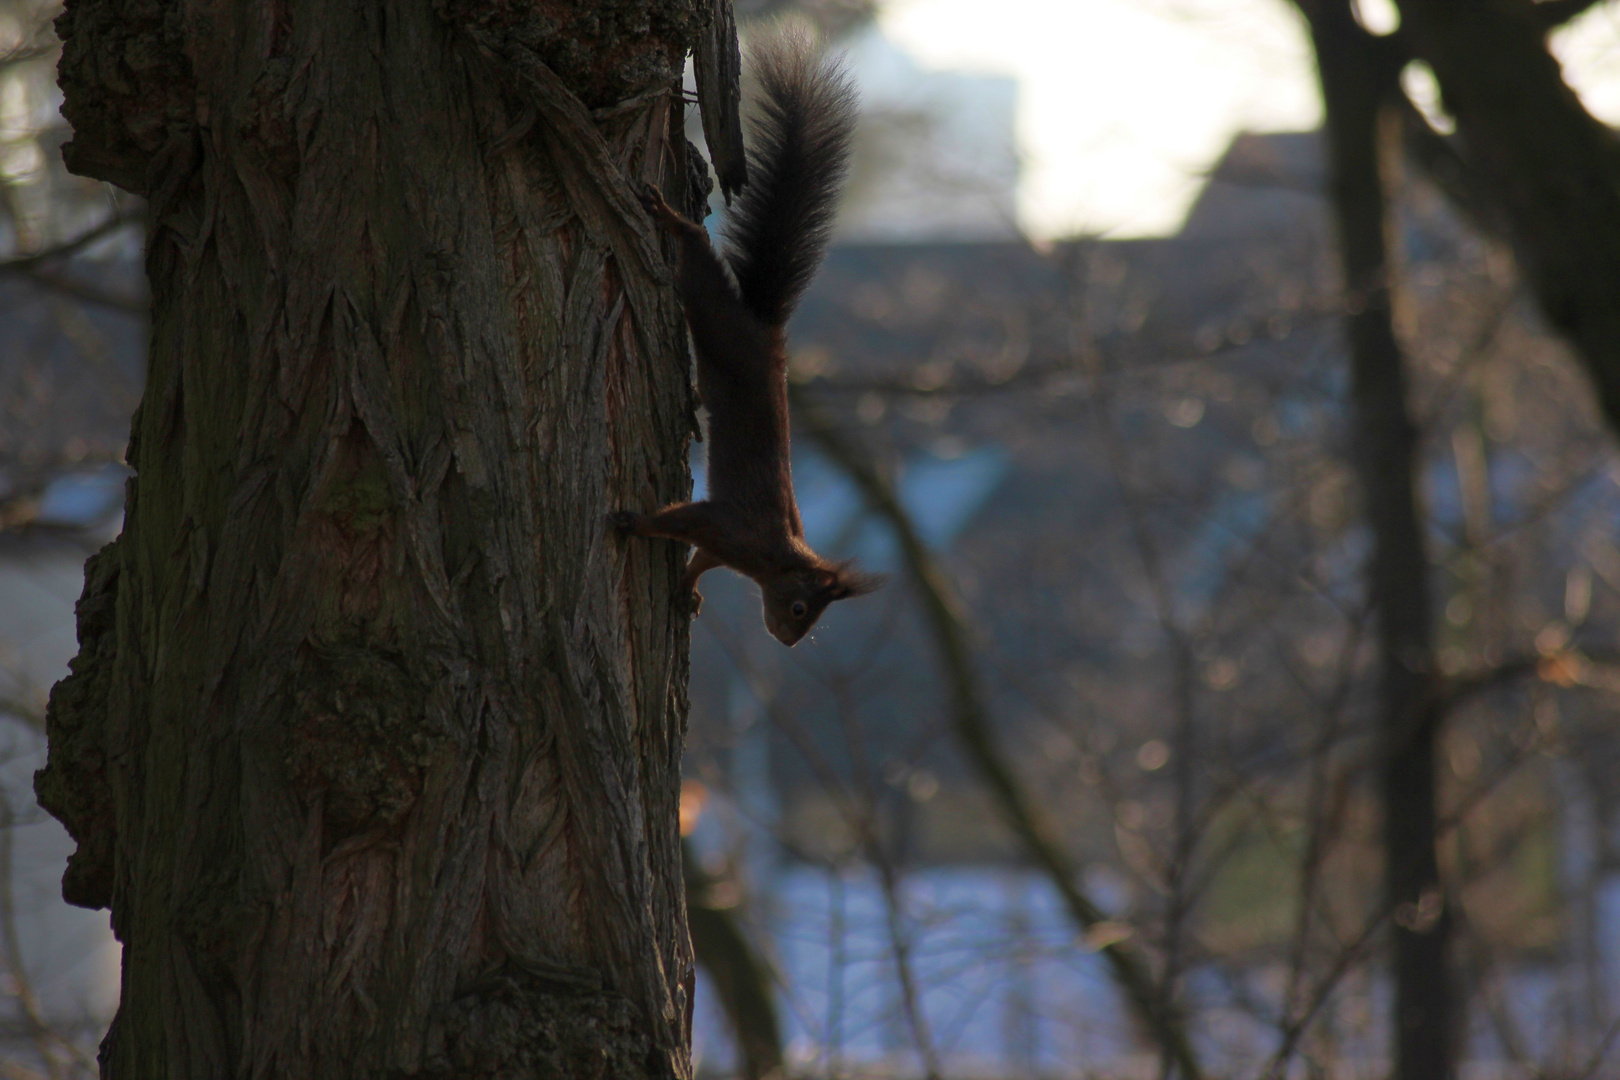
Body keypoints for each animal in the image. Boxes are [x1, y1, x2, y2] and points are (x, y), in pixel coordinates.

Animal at [609, 38, 887, 647]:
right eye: (803, 609)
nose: (787, 640)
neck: (776, 557)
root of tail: (767, 332)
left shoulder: (723, 546)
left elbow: (699, 560)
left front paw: (687, 591)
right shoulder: (727, 526)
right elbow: (677, 521)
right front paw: (635, 523)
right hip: (715, 316)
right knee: (696, 254)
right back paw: (671, 216)